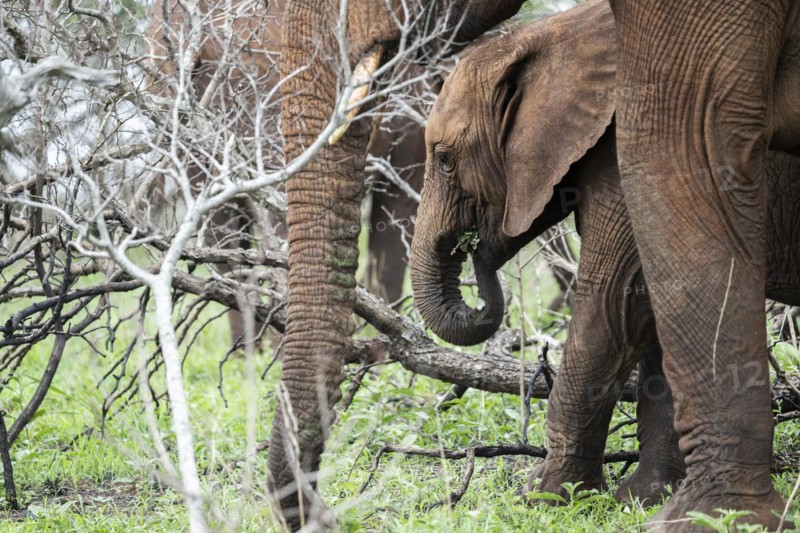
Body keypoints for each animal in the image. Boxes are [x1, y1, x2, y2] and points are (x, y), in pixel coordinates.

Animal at [409, 0, 800, 520]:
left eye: (446, 159)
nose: (479, 248)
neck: (547, 37)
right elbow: (654, 313)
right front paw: (643, 498)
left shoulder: (622, 154)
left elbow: (618, 302)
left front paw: (546, 497)